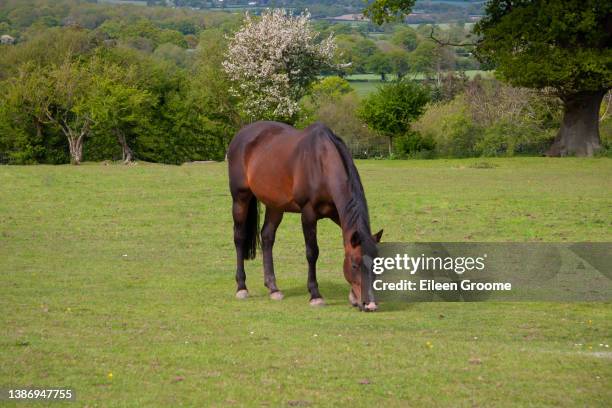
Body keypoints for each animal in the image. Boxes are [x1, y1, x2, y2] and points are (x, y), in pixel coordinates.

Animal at [227, 121, 384, 312]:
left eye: (377, 265)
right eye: (354, 265)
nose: (370, 304)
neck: (322, 162)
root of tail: (241, 134)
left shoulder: (337, 213)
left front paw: (353, 297)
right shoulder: (308, 213)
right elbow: (312, 252)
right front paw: (315, 295)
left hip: (275, 206)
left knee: (267, 237)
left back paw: (273, 288)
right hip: (240, 198)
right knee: (239, 237)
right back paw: (241, 287)